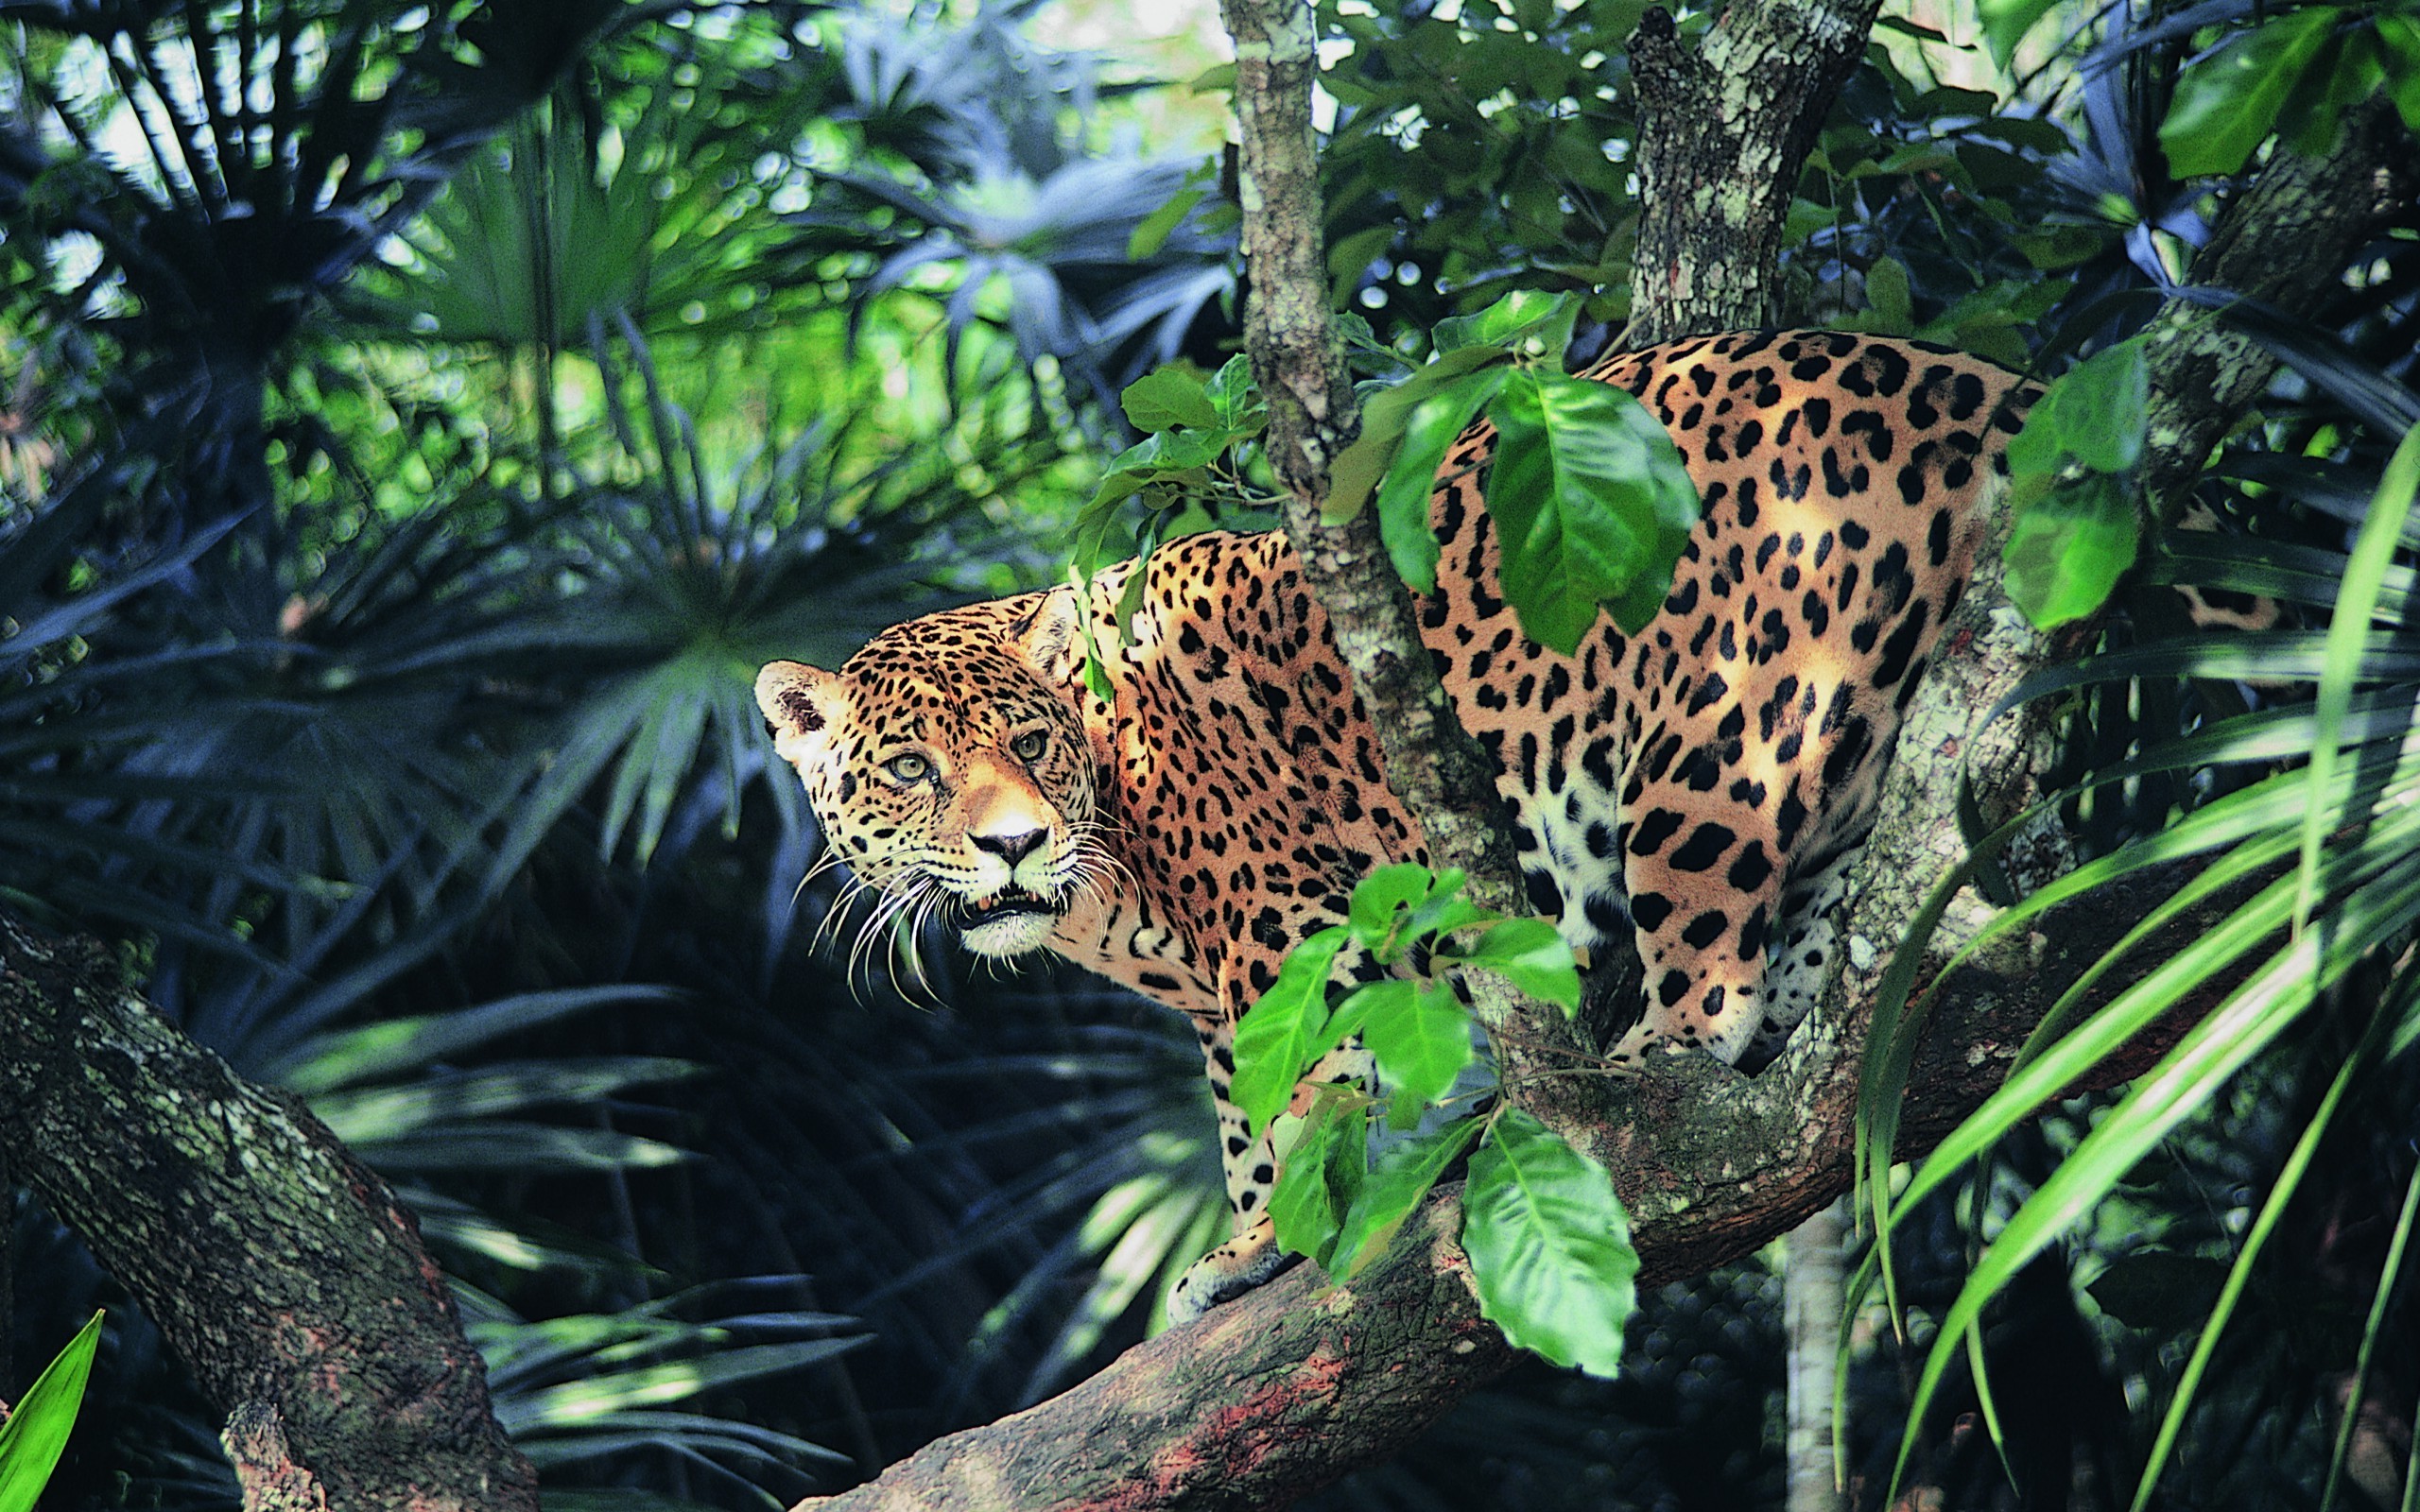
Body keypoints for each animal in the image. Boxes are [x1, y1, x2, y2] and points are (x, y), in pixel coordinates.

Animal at [758, 329, 2039, 1323]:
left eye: (1026, 745)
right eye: (914, 770)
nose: (1012, 844)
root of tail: (1963, 376)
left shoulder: (1278, 922)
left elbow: (1299, 1090)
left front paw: (1272, 1238)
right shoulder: (1217, 1002)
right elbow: (1240, 1122)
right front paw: (1241, 1240)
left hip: (1717, 747)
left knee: (1711, 1005)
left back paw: (1617, 1084)